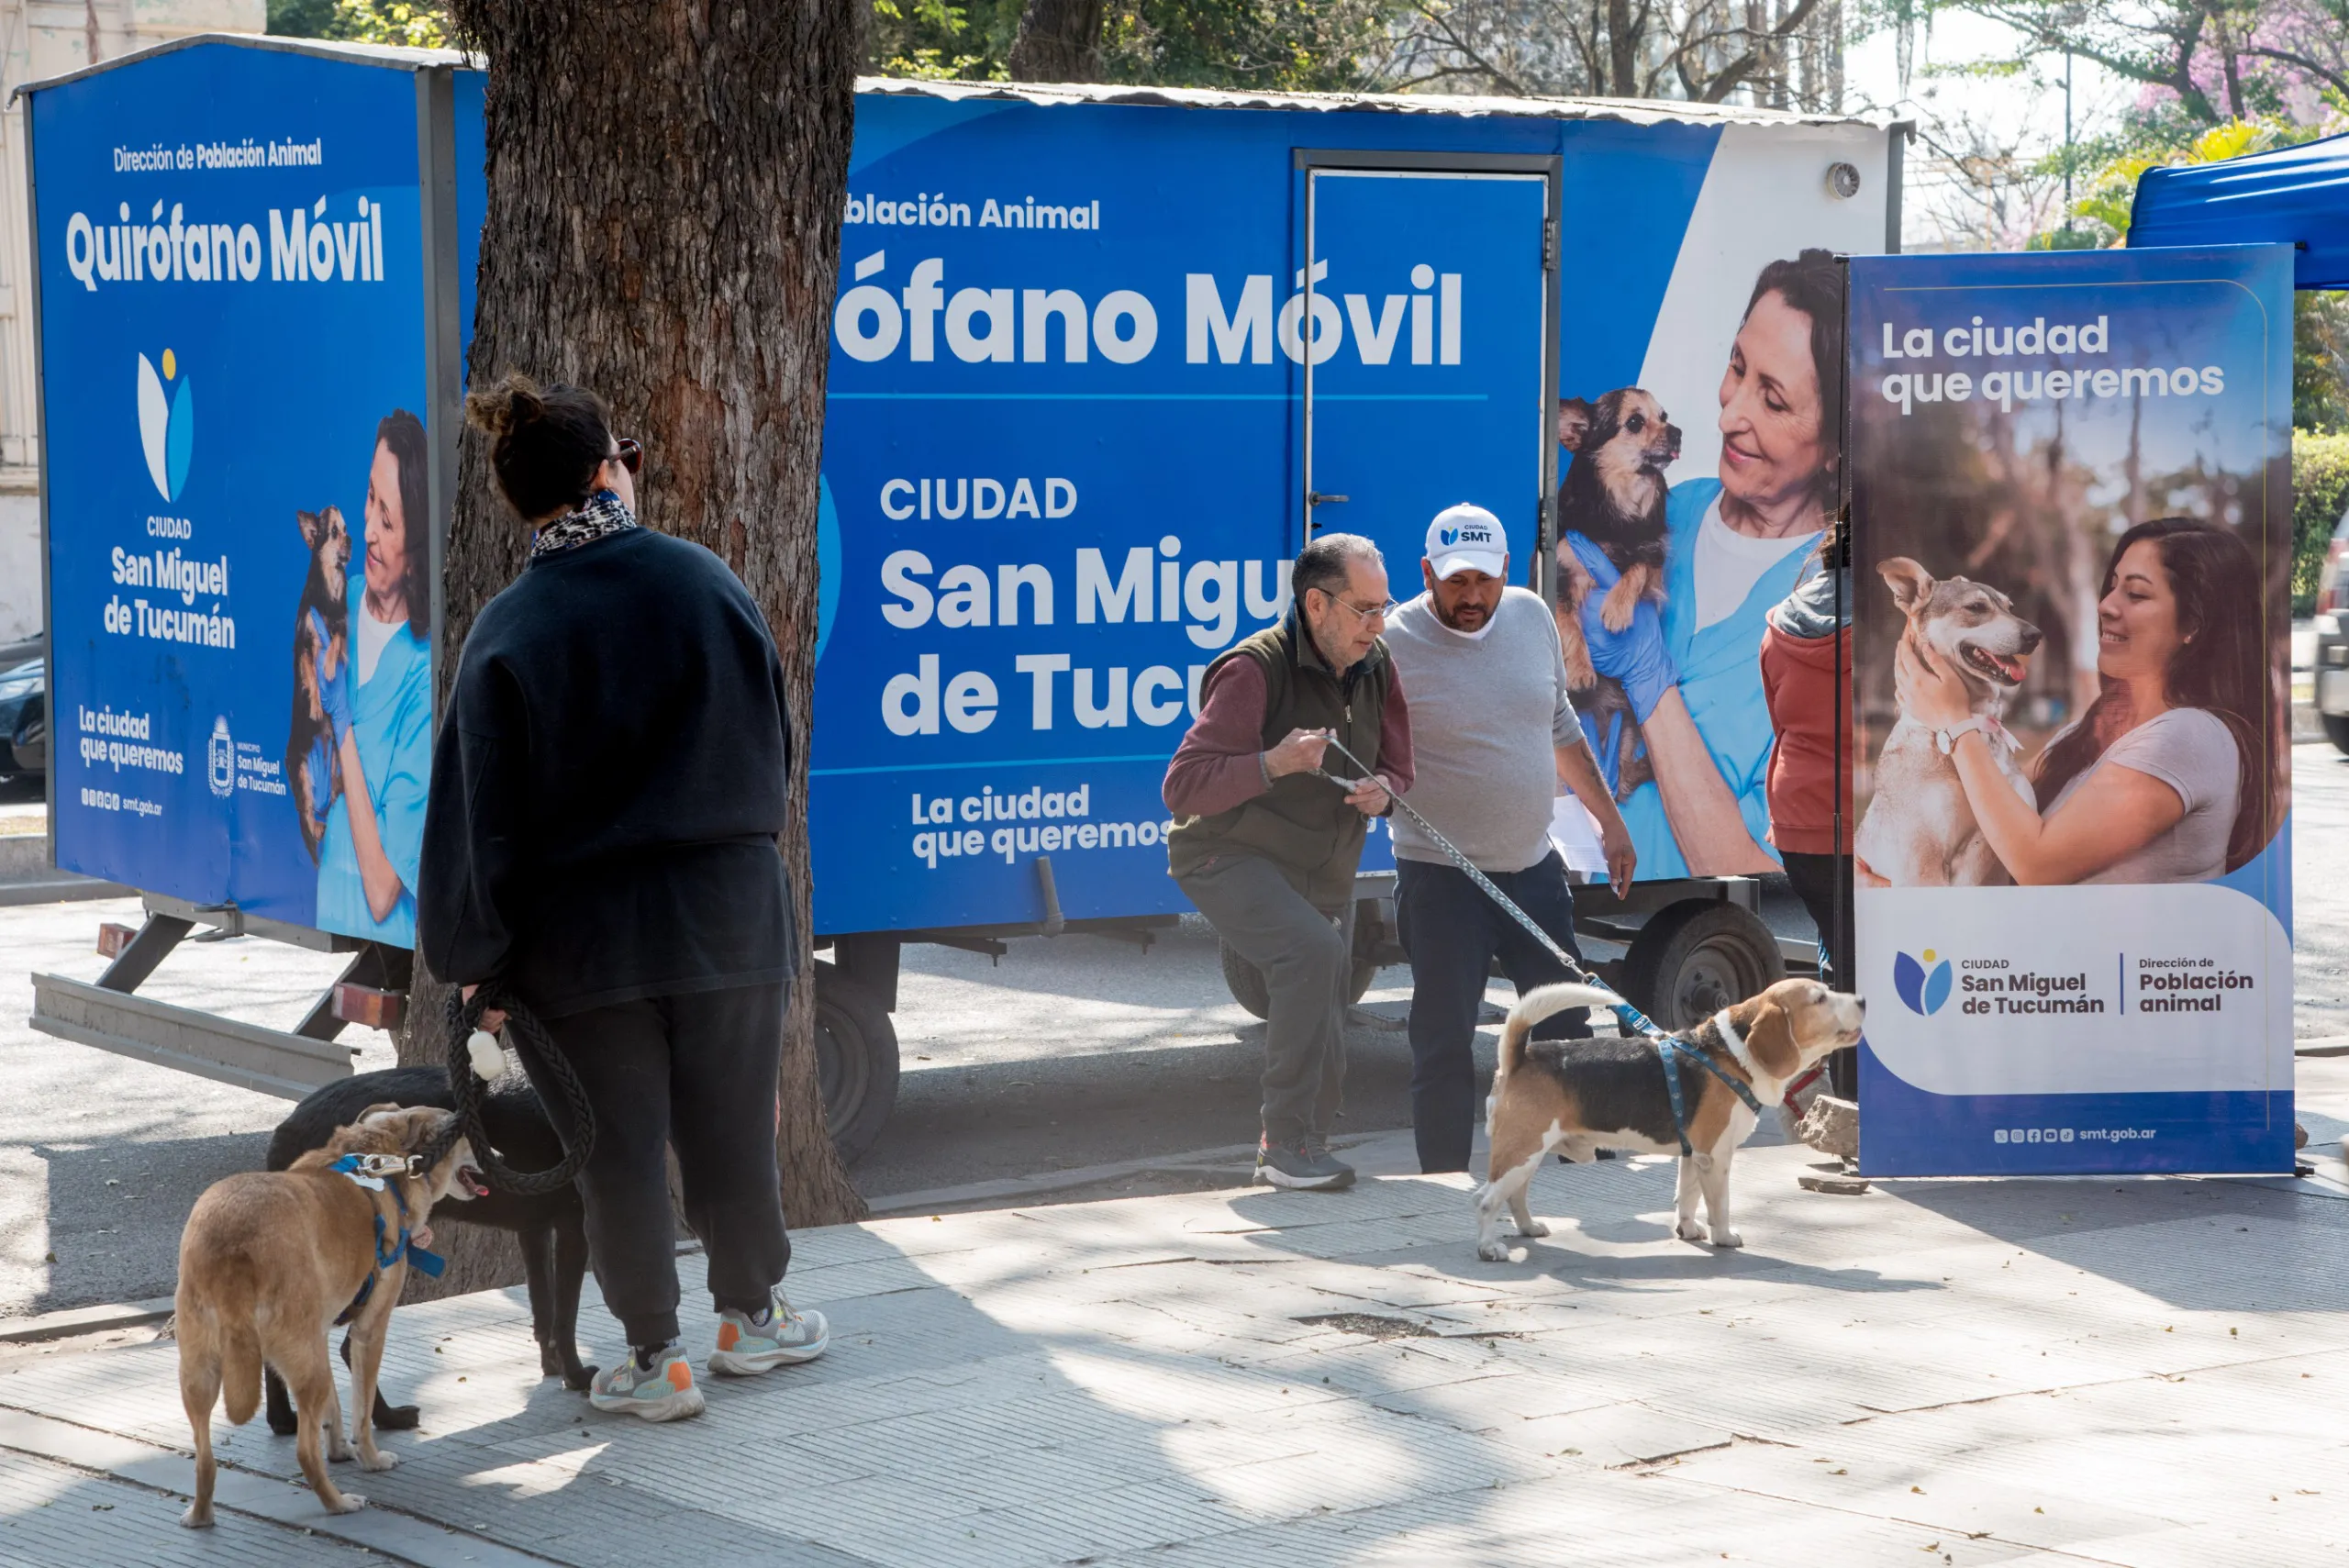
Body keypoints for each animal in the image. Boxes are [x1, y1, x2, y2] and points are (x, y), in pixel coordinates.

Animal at [174, 1098, 481, 1520]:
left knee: (205, 1461)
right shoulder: (369, 1331)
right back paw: (339, 1503)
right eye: (465, 1136)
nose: (496, 1155)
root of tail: (233, 1244)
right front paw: (369, 1458)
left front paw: (338, 1450)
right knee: (305, 1452)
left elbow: (334, 1406)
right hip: (305, 1365)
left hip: (200, 1369)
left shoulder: (320, 1331)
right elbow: (361, 1412)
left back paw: (200, 1517)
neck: (383, 1157)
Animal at [262, 1065, 596, 1436]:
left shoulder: (534, 1230)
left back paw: (283, 1420)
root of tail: (287, 1126)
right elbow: (566, 1316)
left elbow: (544, 1311)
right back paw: (385, 1418)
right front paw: (576, 1376)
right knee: (351, 1345)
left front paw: (550, 1366)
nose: (498, 1158)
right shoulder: (575, 1226)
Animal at [1465, 981, 1869, 1258]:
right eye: (1819, 999)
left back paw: (1529, 1228)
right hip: (1521, 1152)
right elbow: (1719, 1205)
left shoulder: (1693, 1155)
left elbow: (1687, 1197)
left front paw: (1687, 1231)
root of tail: (1519, 1057)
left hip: (1528, 1155)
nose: (1864, 1000)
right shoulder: (1715, 1156)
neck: (1732, 1053)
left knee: (1514, 1197)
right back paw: (1487, 1247)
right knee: (1485, 1201)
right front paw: (1724, 1238)